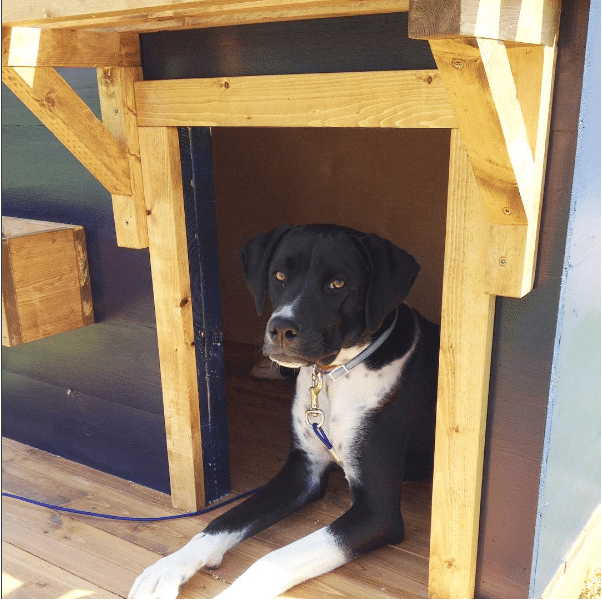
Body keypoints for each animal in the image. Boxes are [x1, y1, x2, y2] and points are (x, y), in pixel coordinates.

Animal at [129, 224, 436, 596]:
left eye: (338, 283)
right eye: (279, 275)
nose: (280, 329)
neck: (336, 375)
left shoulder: (377, 511)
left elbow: (275, 559)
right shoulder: (303, 469)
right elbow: (226, 518)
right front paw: (170, 566)